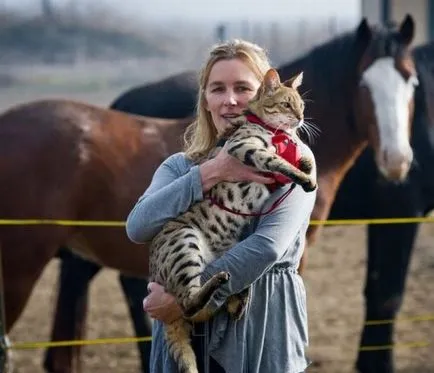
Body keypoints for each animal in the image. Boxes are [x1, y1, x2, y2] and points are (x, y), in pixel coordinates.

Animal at [3, 15, 418, 372]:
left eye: (410, 82)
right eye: (365, 85)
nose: (397, 161)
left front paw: (302, 162)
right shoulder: (250, 157)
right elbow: (275, 161)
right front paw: (299, 172)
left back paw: (232, 297)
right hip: (28, 262)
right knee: (188, 302)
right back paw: (220, 289)